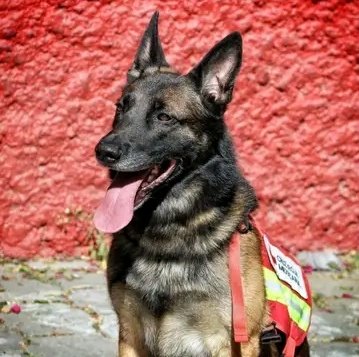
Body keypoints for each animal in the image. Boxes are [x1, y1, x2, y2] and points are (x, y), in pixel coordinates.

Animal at [94, 11, 310, 356]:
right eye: (121, 107)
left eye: (165, 117)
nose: (104, 151)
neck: (167, 235)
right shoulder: (130, 336)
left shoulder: (234, 340)